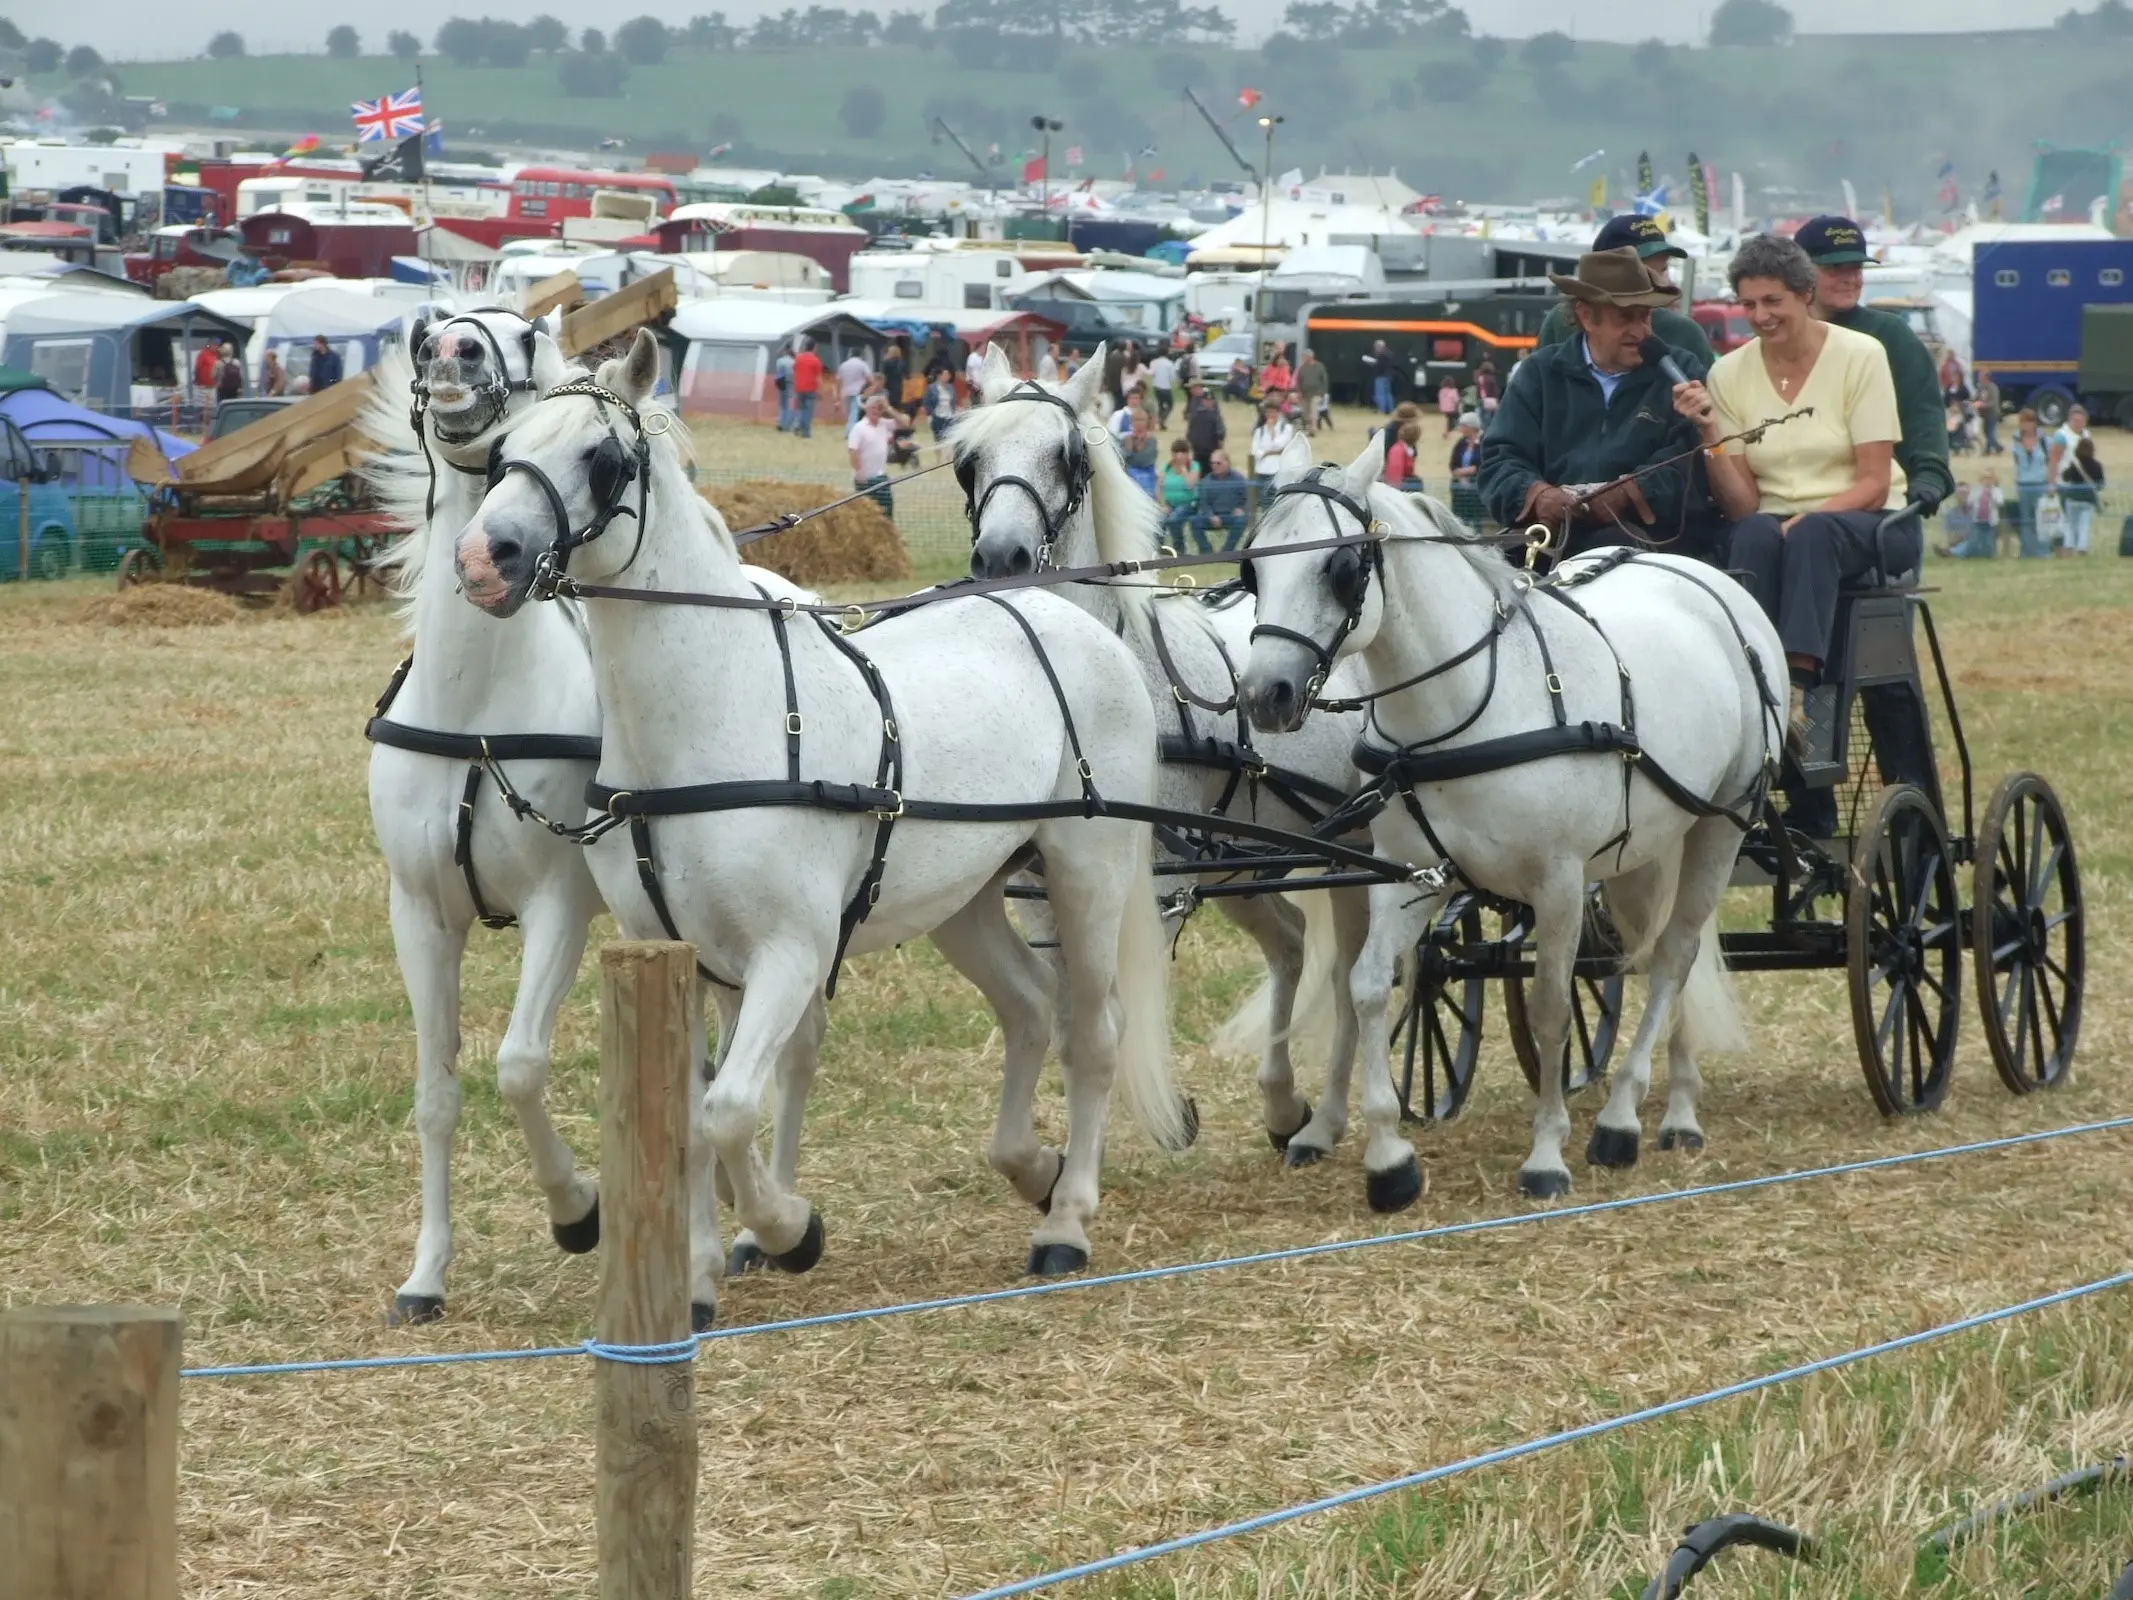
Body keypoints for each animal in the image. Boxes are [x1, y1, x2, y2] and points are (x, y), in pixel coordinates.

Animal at [454, 328, 1185, 1331]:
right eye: (503, 451)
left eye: (602, 458)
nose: (484, 556)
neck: (713, 716)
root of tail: (1060, 614)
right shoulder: (677, 955)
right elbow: (690, 1116)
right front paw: (696, 1281)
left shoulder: (790, 954)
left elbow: (727, 1110)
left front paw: (788, 1228)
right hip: (964, 898)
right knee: (1030, 1006)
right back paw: (1031, 1167)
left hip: (1088, 874)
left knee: (1094, 1031)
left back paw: (1065, 1220)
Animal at [959, 341, 1373, 1169]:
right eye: (969, 461)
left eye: (1067, 457)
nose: (1002, 555)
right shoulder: (1046, 889)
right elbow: (1060, 1010)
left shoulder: (1153, 888)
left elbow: (1103, 1015)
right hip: (1239, 860)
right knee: (1290, 945)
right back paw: (1282, 1103)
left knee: (1349, 969)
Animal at [1237, 433, 1766, 1211]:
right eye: (1252, 568)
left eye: (1339, 566)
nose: (1262, 696)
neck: (1469, 707)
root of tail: (1707, 579)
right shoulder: (1410, 876)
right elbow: (1369, 986)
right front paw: (1389, 1159)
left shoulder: (1558, 883)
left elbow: (1549, 1008)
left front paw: (1546, 1154)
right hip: (1646, 846)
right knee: (1658, 950)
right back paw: (1672, 1104)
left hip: (1721, 824)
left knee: (1674, 954)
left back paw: (1632, 1118)